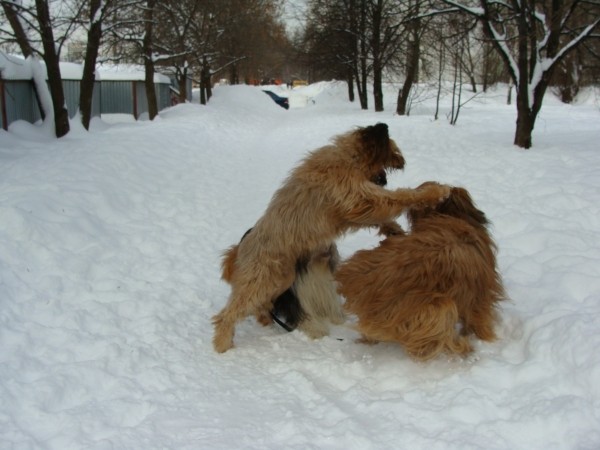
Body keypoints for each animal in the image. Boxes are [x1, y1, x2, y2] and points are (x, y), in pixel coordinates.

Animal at [213, 123, 448, 352]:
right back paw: (223, 342)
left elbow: (376, 215)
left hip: (282, 278)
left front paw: (394, 229)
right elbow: (398, 196)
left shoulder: (352, 208)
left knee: (263, 304)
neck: (348, 157)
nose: (400, 164)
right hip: (264, 278)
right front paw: (434, 192)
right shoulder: (356, 196)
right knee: (230, 312)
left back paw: (263, 319)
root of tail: (241, 247)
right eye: (393, 151)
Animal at [338, 185, 506, 360]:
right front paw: (487, 338)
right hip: (437, 308)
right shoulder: (480, 296)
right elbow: (480, 320)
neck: (449, 215)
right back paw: (461, 350)